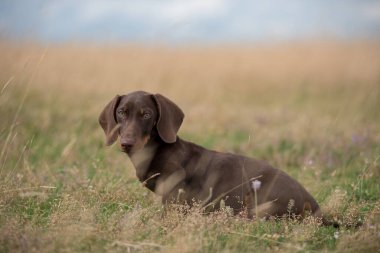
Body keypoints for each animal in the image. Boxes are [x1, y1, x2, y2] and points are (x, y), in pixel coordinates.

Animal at [98, 91, 330, 223]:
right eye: (121, 112)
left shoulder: (173, 202)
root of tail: (311, 201)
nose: (126, 143)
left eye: (146, 114)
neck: (155, 151)